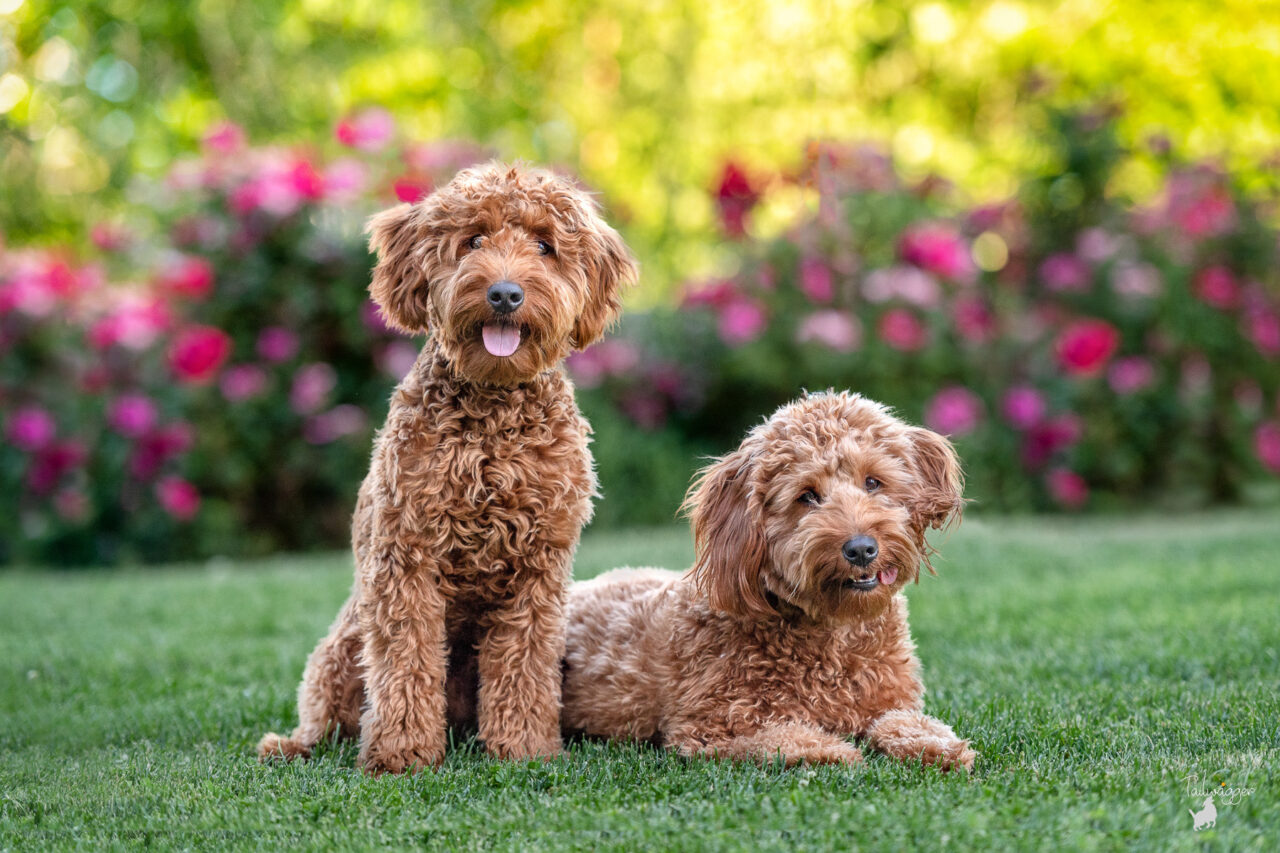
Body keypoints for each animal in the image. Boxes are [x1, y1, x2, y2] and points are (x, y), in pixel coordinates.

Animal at [261, 159, 640, 768]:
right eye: (473, 240)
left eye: (544, 245)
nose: (505, 293)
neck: (493, 418)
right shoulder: (406, 557)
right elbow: (406, 660)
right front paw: (402, 753)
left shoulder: (538, 570)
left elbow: (523, 664)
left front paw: (524, 748)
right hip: (341, 651)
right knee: (327, 720)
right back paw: (293, 745)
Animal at [565, 391, 972, 768]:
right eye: (807, 496)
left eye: (873, 482)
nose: (861, 549)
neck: (833, 633)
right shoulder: (710, 728)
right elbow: (779, 738)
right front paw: (831, 750)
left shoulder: (890, 701)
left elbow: (903, 722)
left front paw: (940, 745)